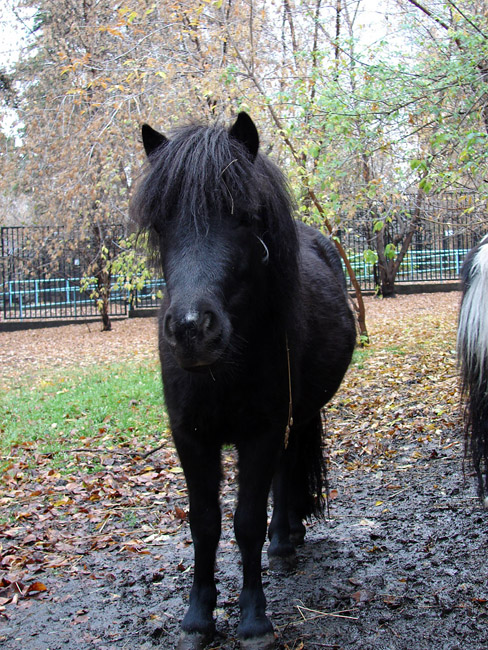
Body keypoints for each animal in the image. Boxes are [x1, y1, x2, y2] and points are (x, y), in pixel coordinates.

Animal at [130, 112, 356, 649]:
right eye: (161, 223)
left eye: (242, 216)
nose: (192, 330)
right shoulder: (191, 437)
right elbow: (205, 525)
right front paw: (198, 618)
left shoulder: (264, 430)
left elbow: (247, 522)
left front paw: (254, 619)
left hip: (299, 415)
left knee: (285, 473)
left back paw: (284, 541)